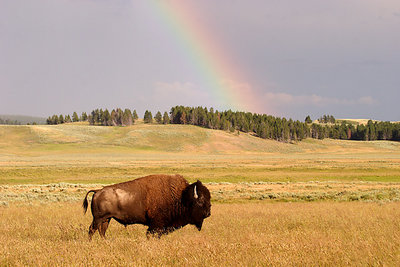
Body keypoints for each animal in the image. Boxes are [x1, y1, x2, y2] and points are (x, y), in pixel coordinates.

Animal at [82, 175, 211, 240]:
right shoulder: (156, 225)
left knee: (101, 231)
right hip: (98, 218)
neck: (182, 197)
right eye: (201, 201)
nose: (208, 213)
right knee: (92, 229)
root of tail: (98, 191)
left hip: (106, 219)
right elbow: (151, 234)